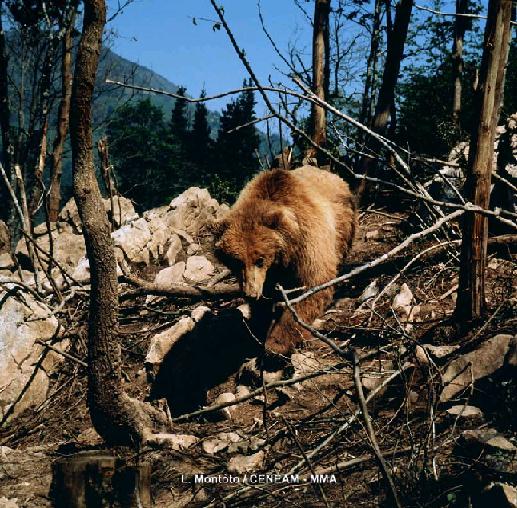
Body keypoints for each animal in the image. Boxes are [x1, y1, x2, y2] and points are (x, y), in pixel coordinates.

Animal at [214, 165, 354, 356]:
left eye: (259, 259)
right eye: (237, 261)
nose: (250, 293)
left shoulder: (308, 245)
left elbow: (311, 287)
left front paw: (276, 344)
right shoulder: (268, 274)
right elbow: (264, 302)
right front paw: (259, 329)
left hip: (343, 229)